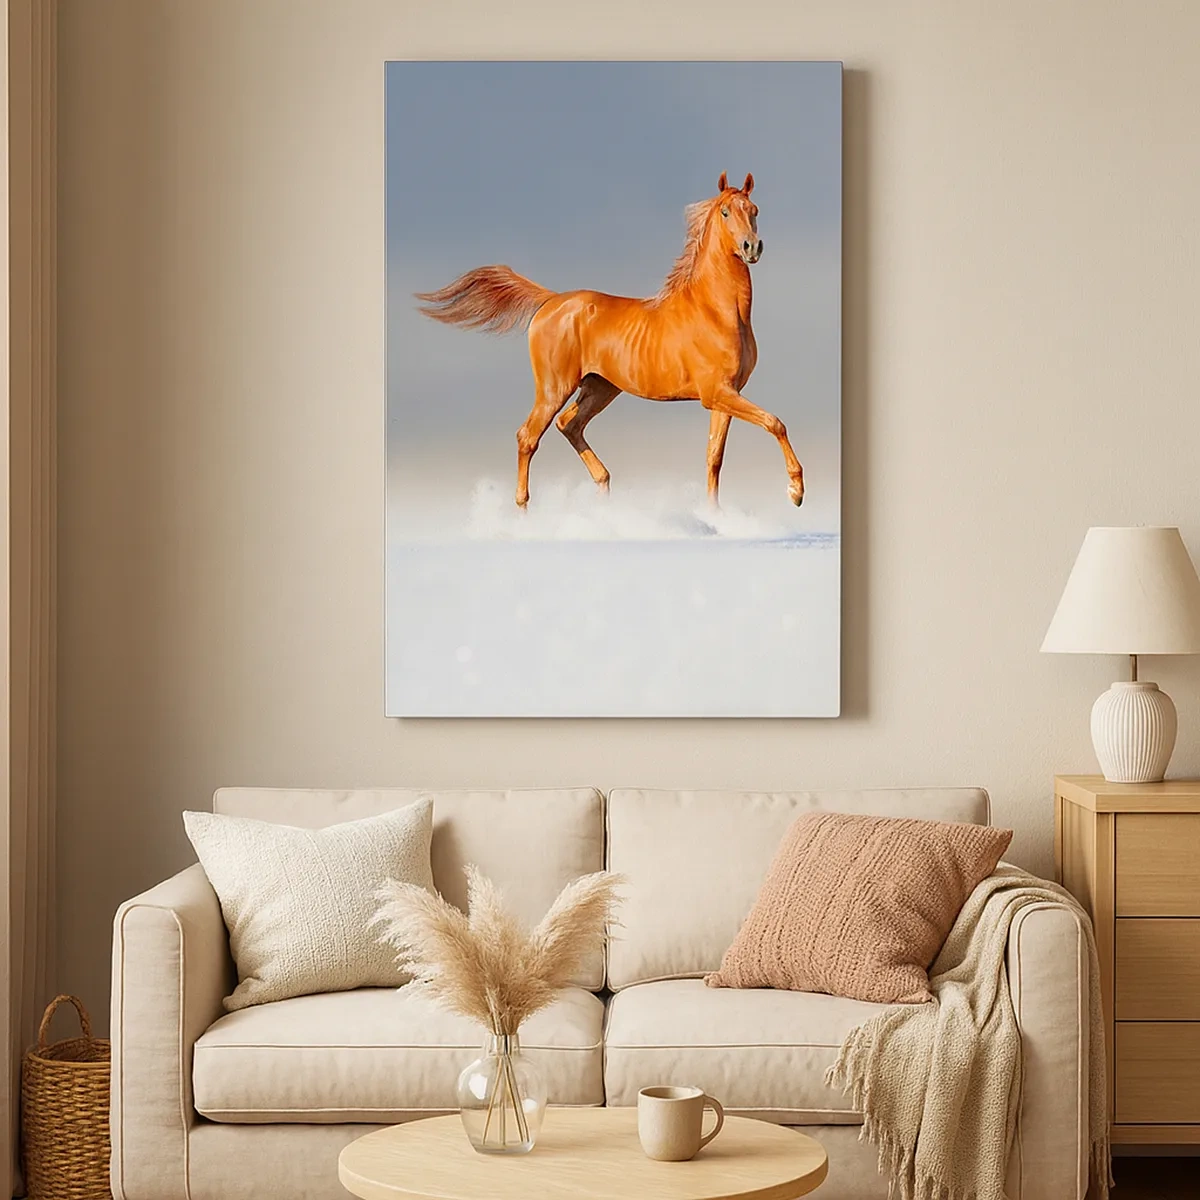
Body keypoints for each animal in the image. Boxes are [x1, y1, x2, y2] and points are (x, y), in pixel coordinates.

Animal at [415, 172, 804, 511]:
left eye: (754, 210)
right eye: (725, 212)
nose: (752, 247)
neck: (716, 310)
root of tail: (551, 301)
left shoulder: (725, 395)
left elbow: (714, 458)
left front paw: (714, 515)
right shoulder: (716, 393)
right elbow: (775, 422)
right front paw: (796, 491)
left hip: (600, 387)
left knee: (569, 424)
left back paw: (603, 491)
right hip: (555, 388)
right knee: (529, 436)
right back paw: (524, 510)